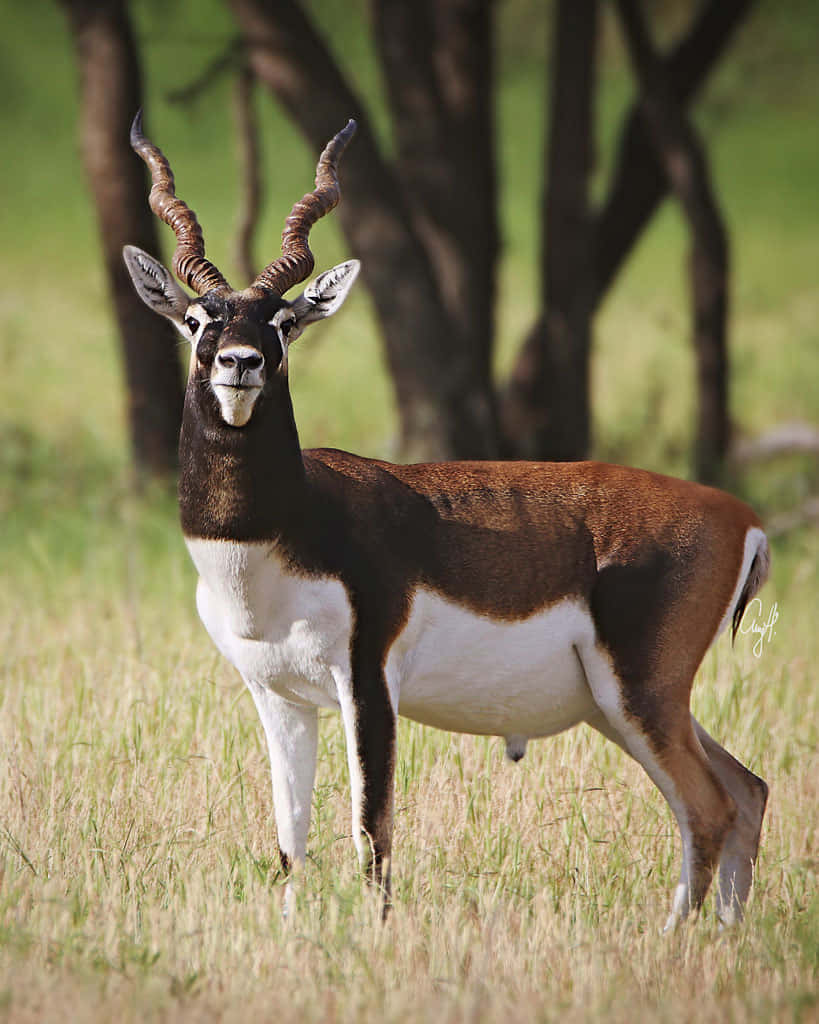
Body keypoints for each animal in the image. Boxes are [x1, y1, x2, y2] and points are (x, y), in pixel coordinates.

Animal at [123, 116, 769, 933]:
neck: (282, 533)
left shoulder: (367, 683)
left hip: (640, 694)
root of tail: (740, 518)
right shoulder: (278, 697)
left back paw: (671, 941)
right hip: (624, 707)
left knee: (708, 807)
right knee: (748, 788)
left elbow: (372, 832)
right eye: (197, 318)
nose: (239, 363)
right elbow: (290, 838)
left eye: (284, 321)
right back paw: (725, 940)